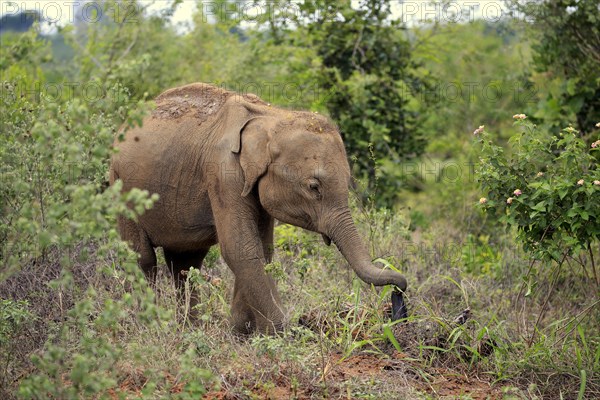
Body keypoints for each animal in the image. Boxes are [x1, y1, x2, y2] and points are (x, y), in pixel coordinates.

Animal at [109, 82, 408, 334]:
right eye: (314, 187)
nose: (399, 296)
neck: (272, 116)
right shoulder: (223, 174)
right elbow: (240, 248)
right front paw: (282, 332)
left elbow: (263, 250)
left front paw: (243, 331)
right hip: (121, 184)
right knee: (142, 258)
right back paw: (149, 328)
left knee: (185, 263)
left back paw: (190, 329)